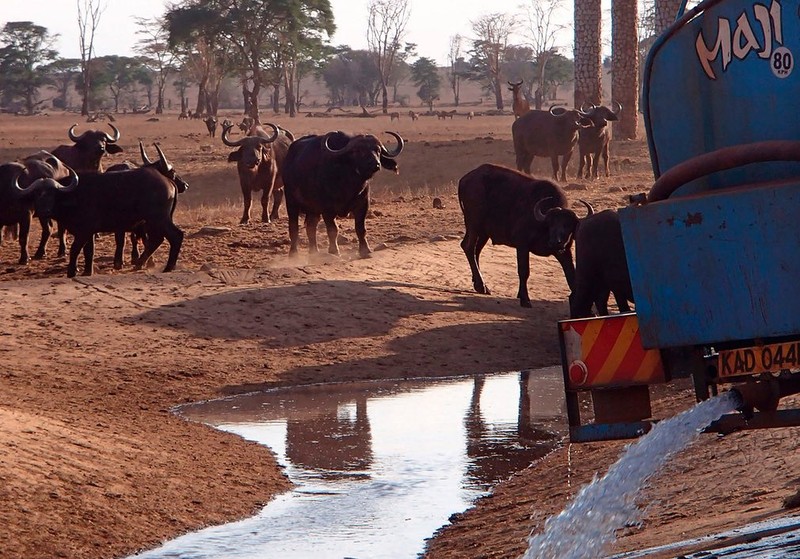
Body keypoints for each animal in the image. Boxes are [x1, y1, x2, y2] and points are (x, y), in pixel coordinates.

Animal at [460, 164, 584, 308]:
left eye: (568, 225)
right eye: (551, 223)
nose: (556, 242)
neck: (542, 226)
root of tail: (465, 179)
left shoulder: (564, 251)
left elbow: (572, 275)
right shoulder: (522, 245)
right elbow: (524, 271)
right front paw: (525, 298)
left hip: (484, 232)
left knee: (476, 251)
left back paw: (479, 284)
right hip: (474, 225)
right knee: (469, 247)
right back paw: (481, 284)